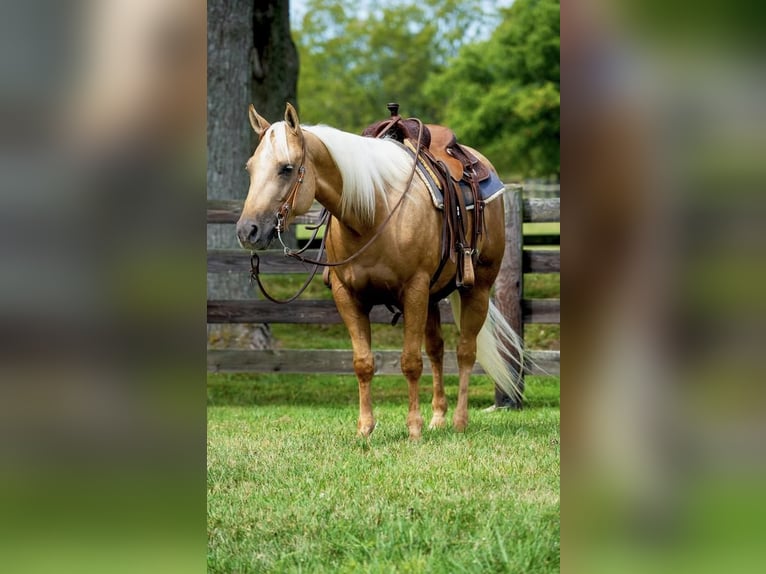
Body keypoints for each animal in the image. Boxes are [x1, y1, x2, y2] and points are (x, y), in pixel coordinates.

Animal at [237, 102, 524, 440]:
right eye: (250, 168)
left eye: (286, 168)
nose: (247, 231)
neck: (372, 213)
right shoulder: (347, 295)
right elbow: (363, 362)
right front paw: (365, 428)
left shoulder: (414, 290)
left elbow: (410, 362)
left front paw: (413, 428)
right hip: (433, 297)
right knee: (437, 350)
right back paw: (438, 417)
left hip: (476, 288)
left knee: (465, 350)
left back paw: (459, 421)